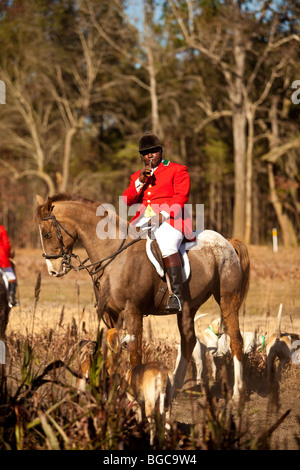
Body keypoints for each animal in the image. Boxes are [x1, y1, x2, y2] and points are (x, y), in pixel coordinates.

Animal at [35, 193, 251, 402]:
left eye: (47, 234)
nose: (53, 270)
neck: (114, 255)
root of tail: (227, 242)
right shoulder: (111, 315)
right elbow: (113, 353)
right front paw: (109, 394)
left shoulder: (133, 312)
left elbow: (135, 354)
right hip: (188, 308)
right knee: (188, 341)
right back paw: (175, 387)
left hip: (227, 299)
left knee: (236, 340)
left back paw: (237, 394)